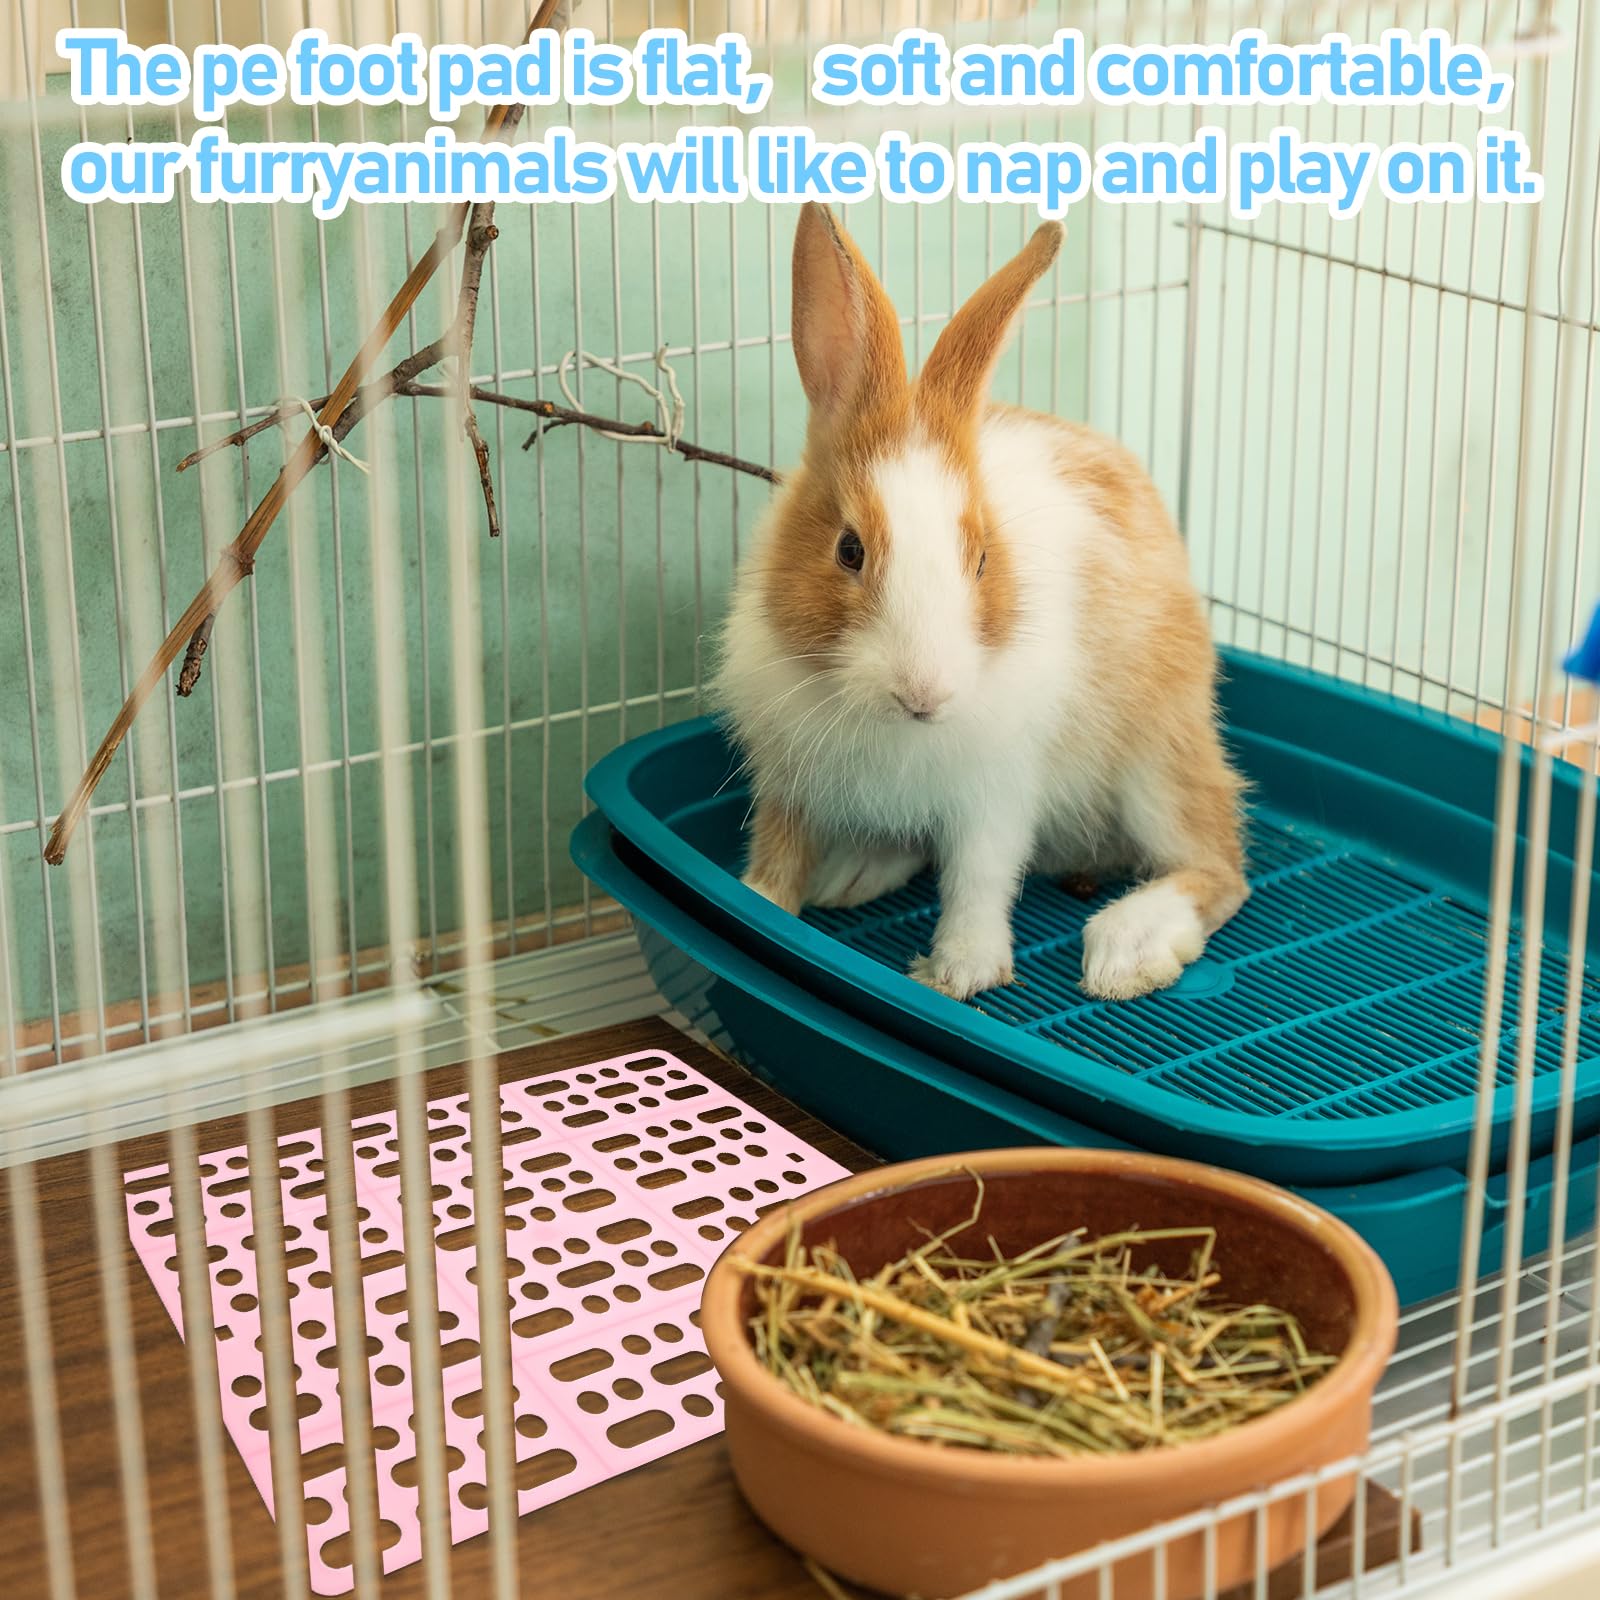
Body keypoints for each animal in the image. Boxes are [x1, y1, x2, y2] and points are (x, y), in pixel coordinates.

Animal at [712, 202, 1247, 1002]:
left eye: (984, 559)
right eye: (849, 550)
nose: (924, 694)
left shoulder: (996, 792)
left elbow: (979, 876)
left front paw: (961, 972)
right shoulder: (789, 784)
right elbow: (778, 857)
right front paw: (760, 905)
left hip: (1157, 758)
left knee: (1220, 864)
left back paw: (1126, 948)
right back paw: (854, 872)